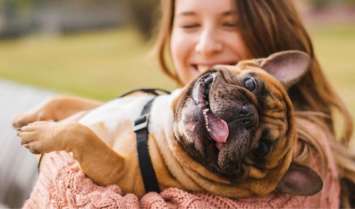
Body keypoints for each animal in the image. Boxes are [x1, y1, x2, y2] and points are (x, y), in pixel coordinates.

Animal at [15, 50, 324, 198]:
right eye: (250, 83)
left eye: (262, 147)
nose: (248, 115)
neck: (162, 125)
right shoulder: (99, 106)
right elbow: (64, 101)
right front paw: (30, 116)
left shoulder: (118, 171)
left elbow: (81, 133)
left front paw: (40, 134)